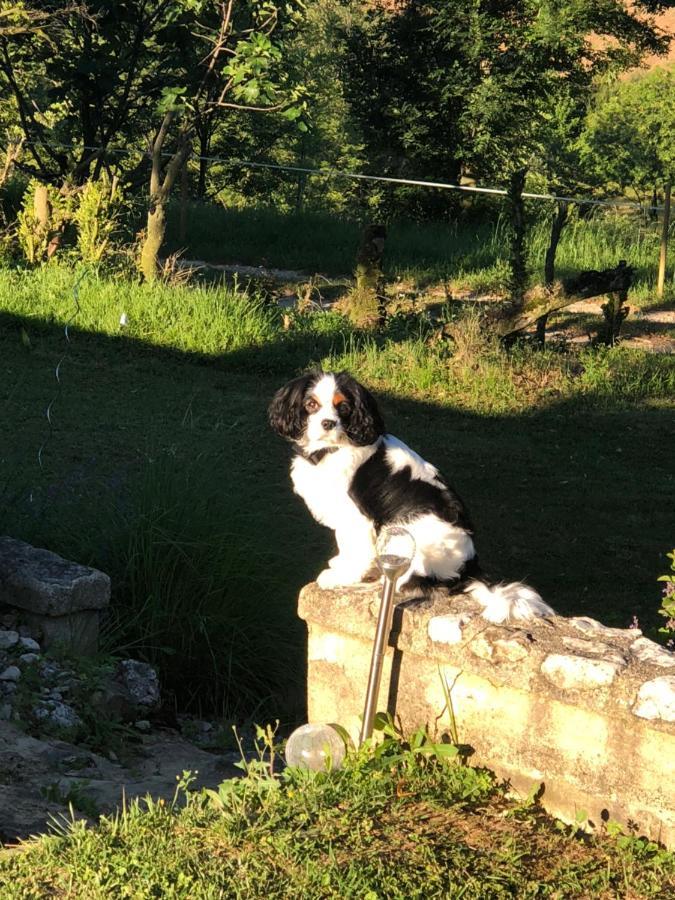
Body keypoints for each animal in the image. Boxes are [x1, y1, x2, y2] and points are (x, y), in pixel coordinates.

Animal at [268, 370, 556, 624]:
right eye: (311, 404)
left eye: (344, 407)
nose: (328, 423)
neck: (331, 449)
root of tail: (468, 571)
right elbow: (345, 545)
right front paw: (342, 565)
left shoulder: (356, 517)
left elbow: (355, 548)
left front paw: (343, 576)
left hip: (406, 531)